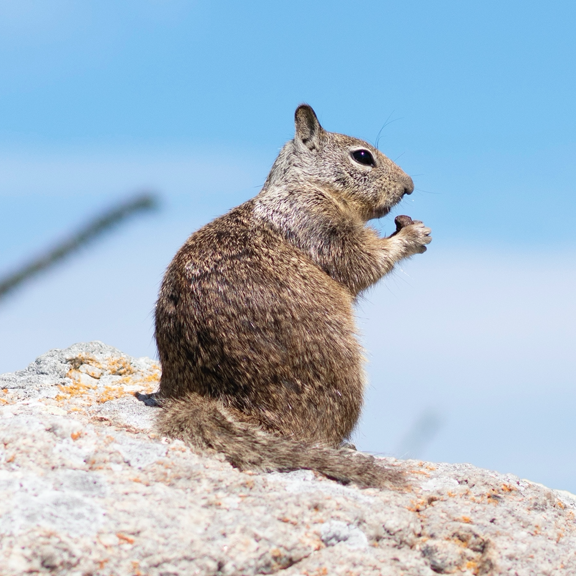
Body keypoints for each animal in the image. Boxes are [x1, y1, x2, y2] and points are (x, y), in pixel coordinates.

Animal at [146, 103, 430, 486]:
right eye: (362, 156)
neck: (304, 185)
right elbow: (361, 261)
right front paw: (413, 235)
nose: (409, 187)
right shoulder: (318, 223)